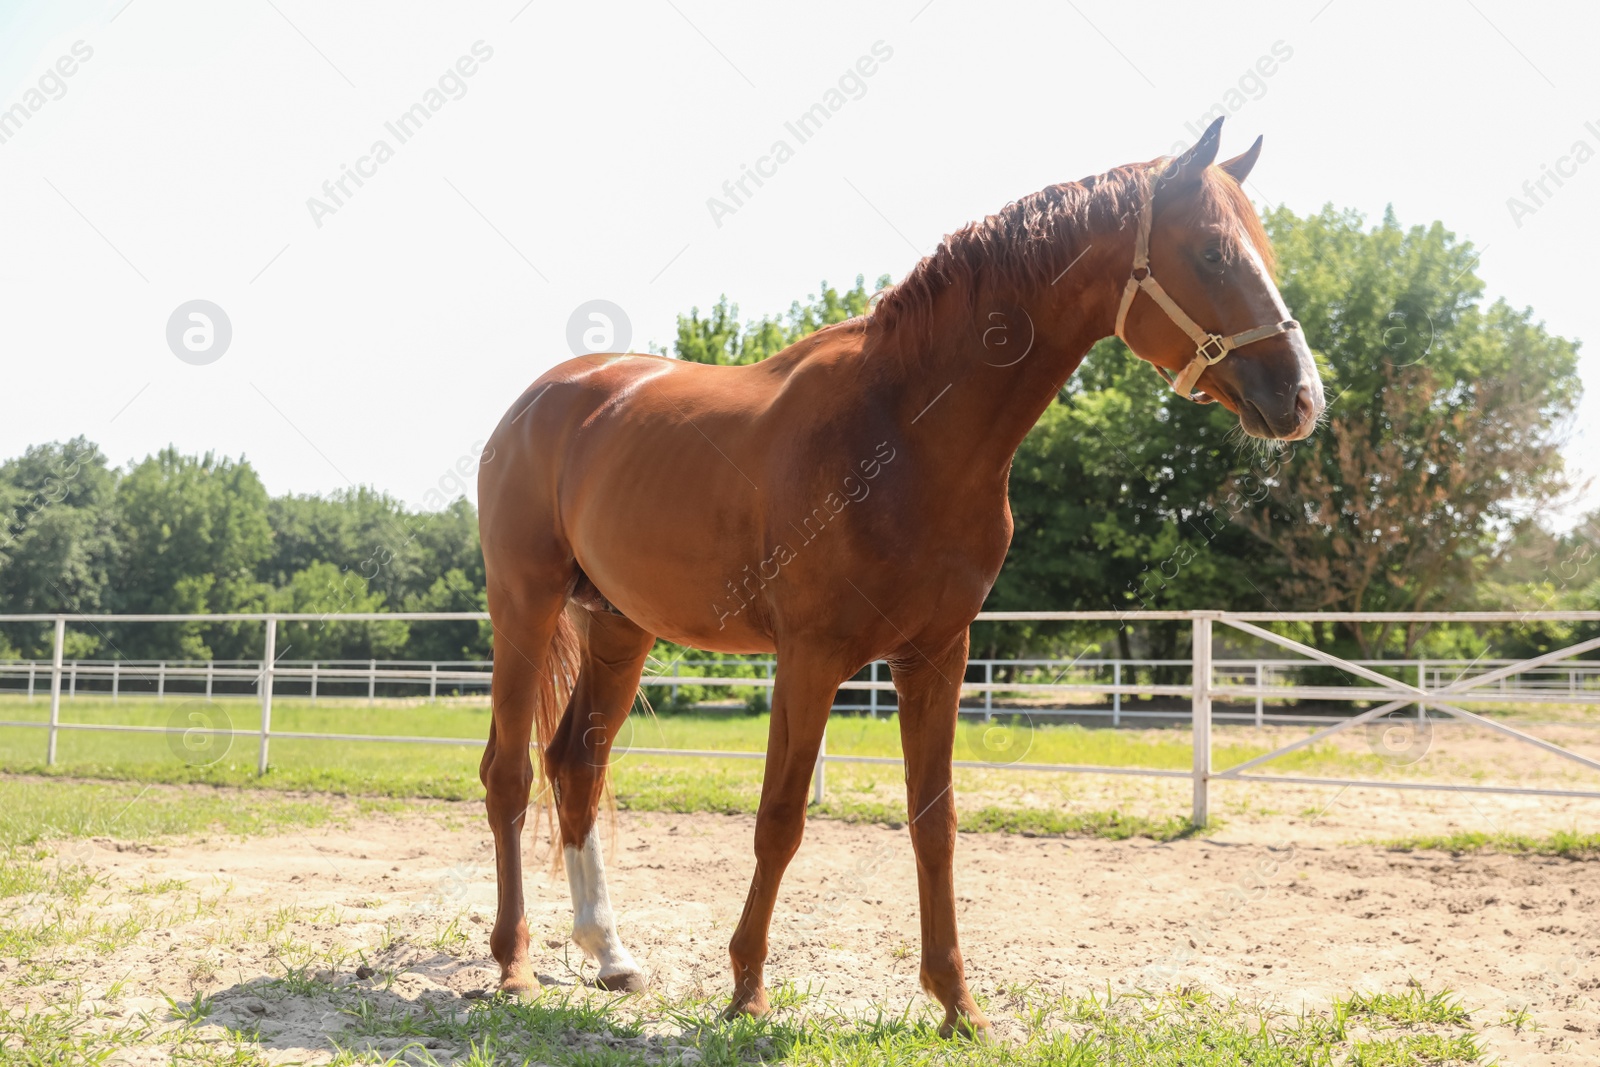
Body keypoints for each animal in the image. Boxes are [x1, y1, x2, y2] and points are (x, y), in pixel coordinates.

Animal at [476, 115, 1324, 1036]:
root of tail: (539, 401)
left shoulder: (937, 654)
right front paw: (747, 989)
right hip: (524, 607)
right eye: (1210, 252)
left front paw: (958, 1001)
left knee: (577, 765)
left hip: (620, 627)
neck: (904, 428)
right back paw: (513, 963)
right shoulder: (810, 659)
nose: (1303, 397)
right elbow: (780, 819)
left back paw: (610, 955)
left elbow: (934, 823)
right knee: (509, 771)